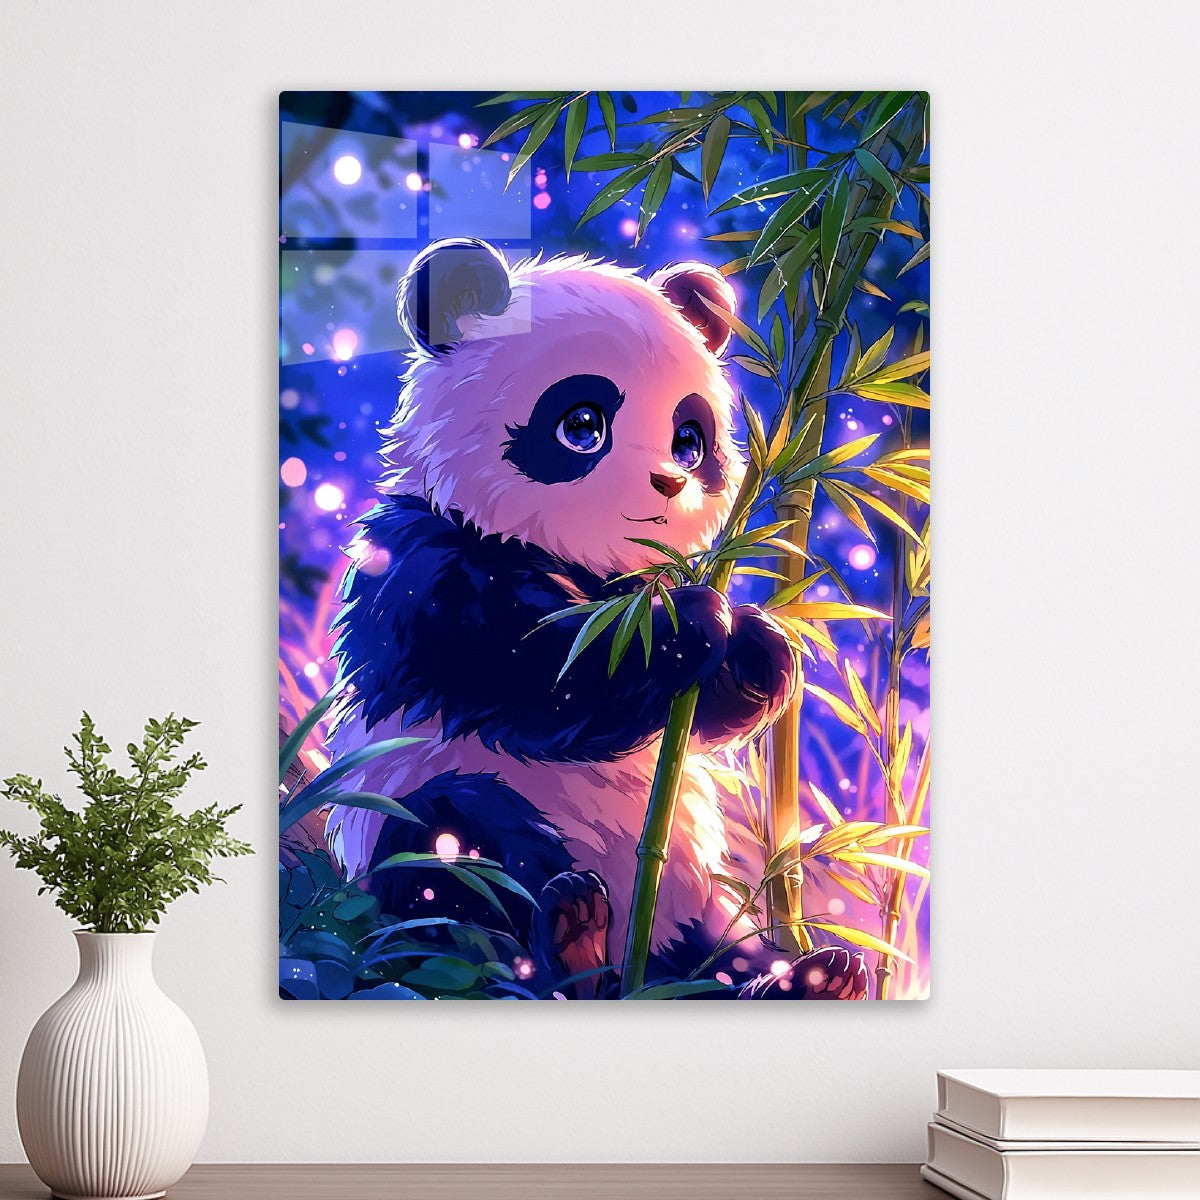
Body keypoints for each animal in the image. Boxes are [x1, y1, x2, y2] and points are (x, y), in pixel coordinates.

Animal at [325, 238, 868, 1000]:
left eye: (690, 438)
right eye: (581, 425)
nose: (669, 481)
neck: (573, 559)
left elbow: (690, 715)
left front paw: (760, 649)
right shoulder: (423, 566)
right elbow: (531, 671)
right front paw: (695, 619)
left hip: (690, 907)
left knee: (720, 957)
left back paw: (809, 977)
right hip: (409, 832)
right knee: (459, 849)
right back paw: (571, 939)